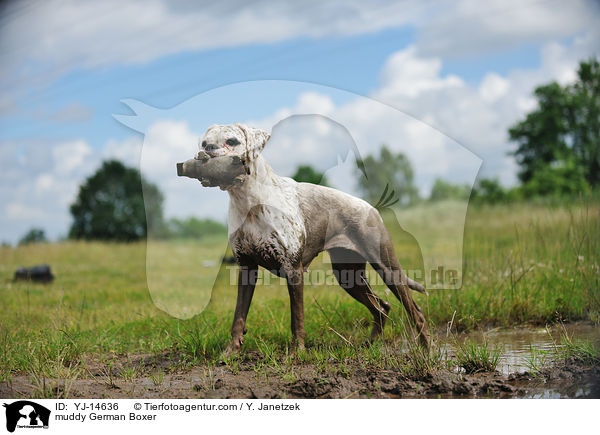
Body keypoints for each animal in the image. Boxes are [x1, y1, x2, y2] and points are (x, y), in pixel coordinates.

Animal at [176, 122, 428, 350]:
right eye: (204, 143)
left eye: (232, 141)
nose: (208, 151)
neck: (248, 202)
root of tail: (371, 208)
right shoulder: (246, 268)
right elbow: (239, 317)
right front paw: (232, 353)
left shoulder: (293, 270)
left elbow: (297, 319)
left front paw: (297, 352)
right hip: (348, 276)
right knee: (382, 307)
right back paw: (370, 343)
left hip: (387, 269)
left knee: (415, 312)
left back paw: (426, 350)